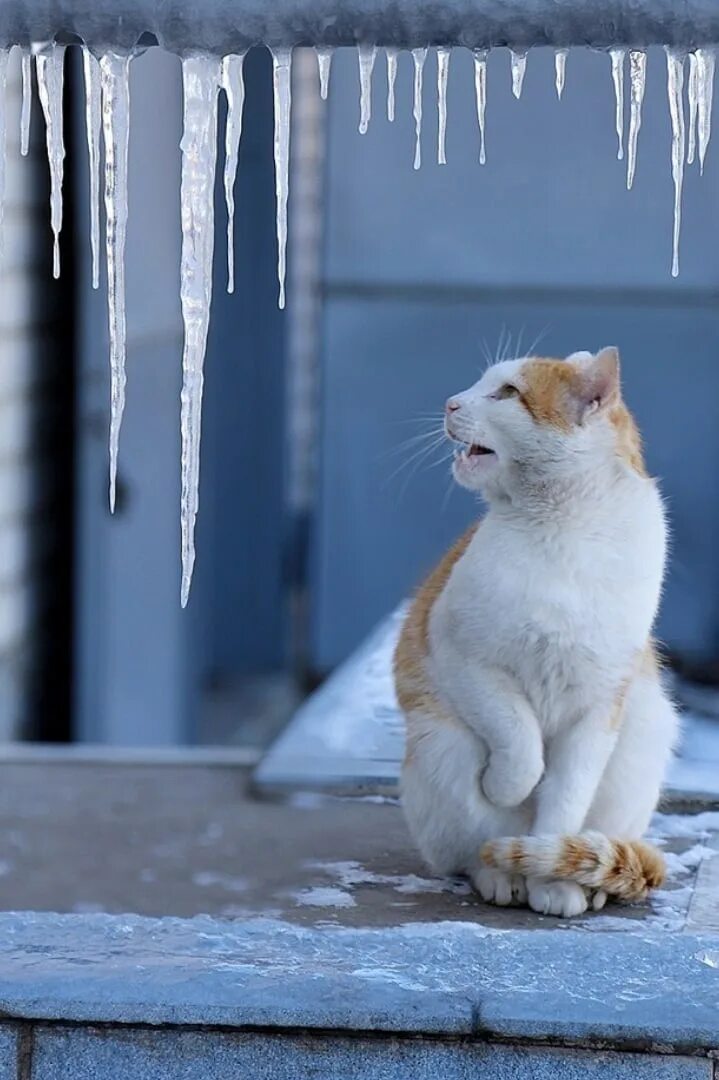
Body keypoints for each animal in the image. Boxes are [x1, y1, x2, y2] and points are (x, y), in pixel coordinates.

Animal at [392, 347, 677, 920]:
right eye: (481, 384)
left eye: (507, 392)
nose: (450, 402)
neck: (564, 529)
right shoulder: (461, 657)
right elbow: (519, 739)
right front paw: (505, 791)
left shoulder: (599, 709)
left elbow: (564, 801)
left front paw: (554, 881)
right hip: (441, 746)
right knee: (473, 847)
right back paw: (500, 875)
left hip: (643, 737)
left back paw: (581, 881)